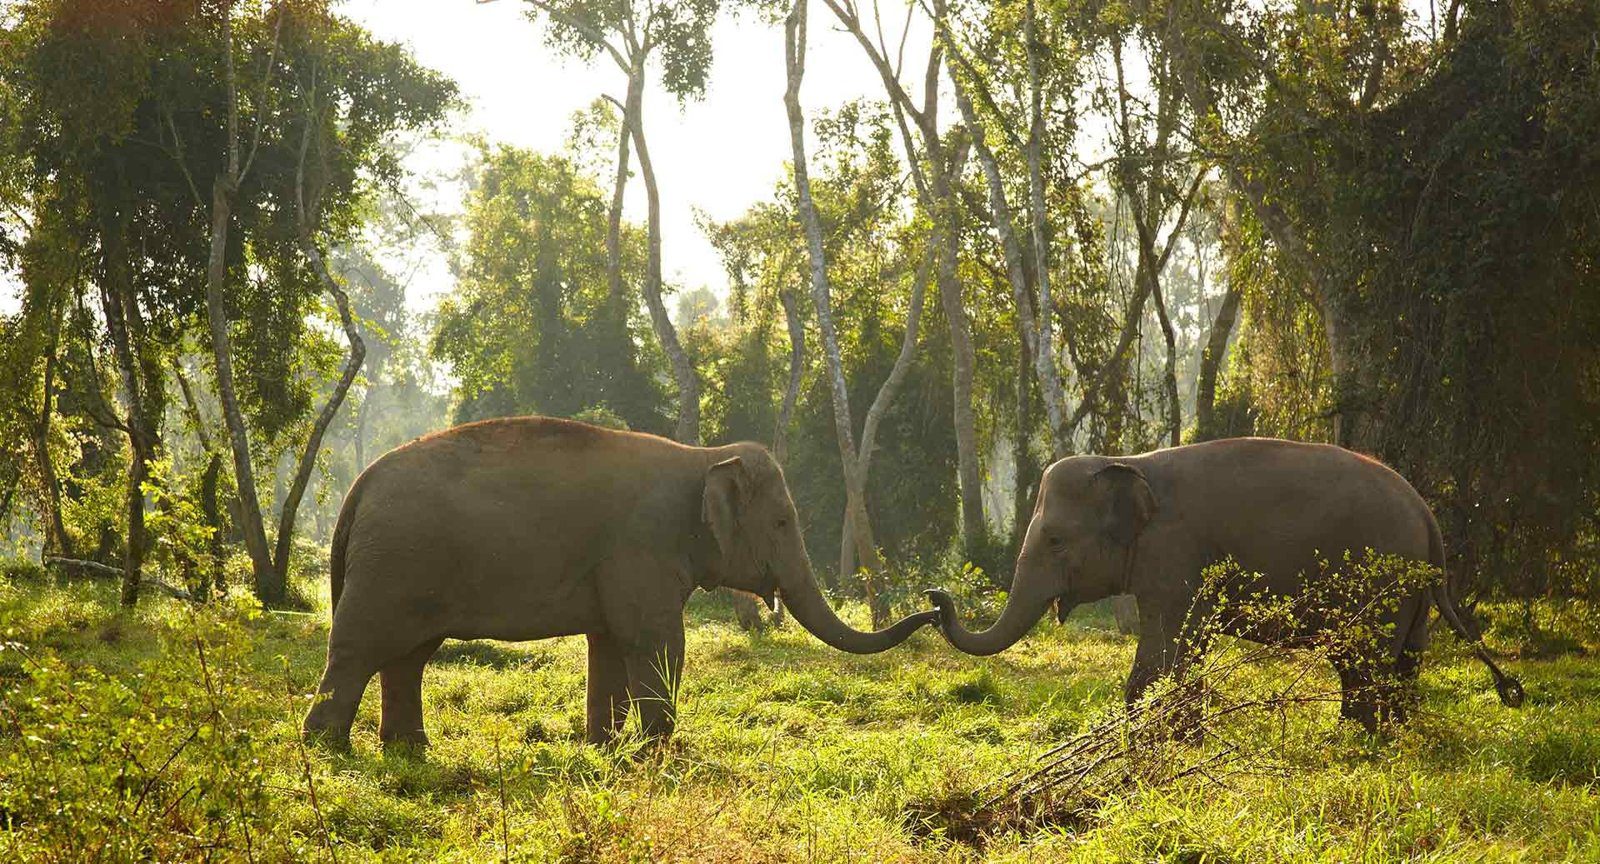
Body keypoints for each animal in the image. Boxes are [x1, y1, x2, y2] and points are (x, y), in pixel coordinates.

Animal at [302, 416, 936, 749]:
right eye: (782, 521)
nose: (937, 603)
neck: (702, 457)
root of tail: (359, 486)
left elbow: (608, 645)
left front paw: (603, 749)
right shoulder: (642, 548)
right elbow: (656, 643)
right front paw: (658, 753)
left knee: (408, 655)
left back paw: (409, 751)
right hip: (393, 563)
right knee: (360, 648)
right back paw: (328, 750)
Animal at [926, 437, 1523, 732]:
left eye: (1053, 540)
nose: (936, 598)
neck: (1128, 461)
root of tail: (1426, 513)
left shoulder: (1175, 553)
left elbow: (1166, 651)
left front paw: (1155, 738)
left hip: (1380, 583)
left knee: (1363, 663)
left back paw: (1354, 742)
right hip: (1410, 591)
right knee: (1402, 663)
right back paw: (1385, 739)